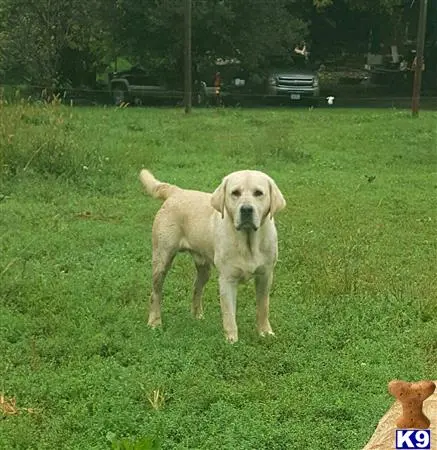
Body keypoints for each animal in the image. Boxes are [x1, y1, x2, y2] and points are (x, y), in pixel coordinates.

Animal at [138, 168, 284, 342]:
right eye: (235, 193)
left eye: (259, 193)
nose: (246, 209)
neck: (248, 242)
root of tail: (176, 191)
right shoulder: (227, 279)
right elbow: (229, 314)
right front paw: (232, 340)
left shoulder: (266, 276)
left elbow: (263, 307)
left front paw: (265, 332)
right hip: (161, 260)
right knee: (155, 294)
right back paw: (155, 322)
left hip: (204, 269)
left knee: (196, 288)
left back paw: (197, 316)